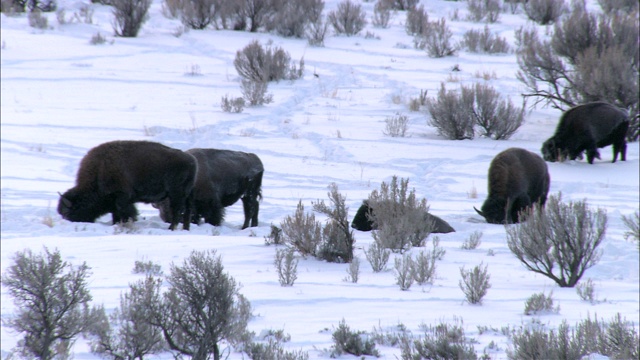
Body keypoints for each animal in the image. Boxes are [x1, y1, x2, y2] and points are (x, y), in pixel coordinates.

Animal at [57, 141, 198, 231]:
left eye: (70, 212)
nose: (70, 222)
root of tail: (191, 159)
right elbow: (116, 213)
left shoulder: (122, 197)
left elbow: (125, 212)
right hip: (187, 195)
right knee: (187, 211)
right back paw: (185, 228)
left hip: (176, 194)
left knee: (177, 210)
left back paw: (171, 229)